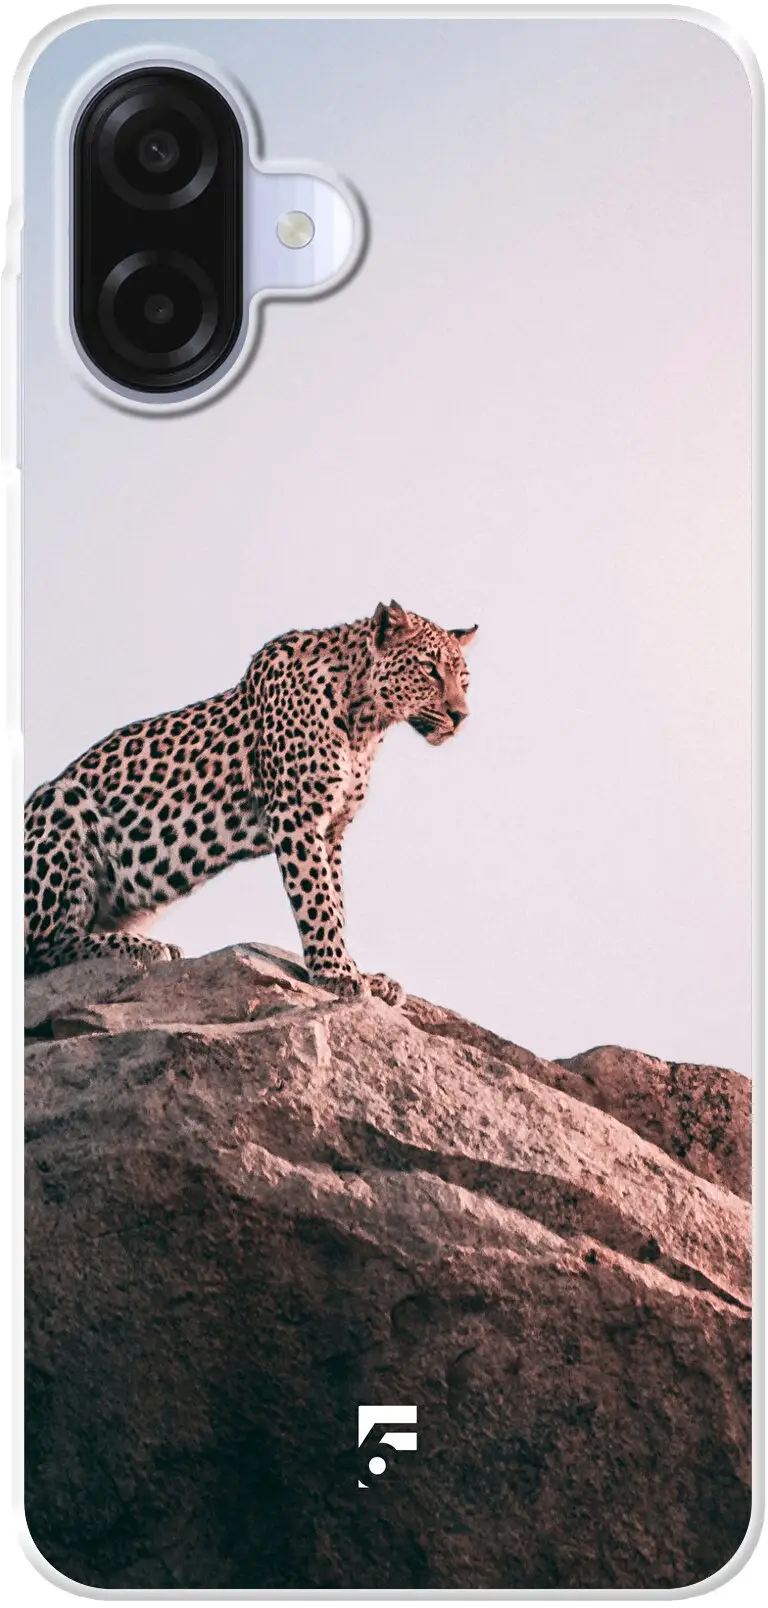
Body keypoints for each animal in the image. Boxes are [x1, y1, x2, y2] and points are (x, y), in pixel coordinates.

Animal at [24, 601, 477, 1002]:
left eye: (465, 679)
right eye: (429, 669)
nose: (461, 716)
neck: (365, 722)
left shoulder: (332, 830)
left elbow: (337, 902)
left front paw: (358, 972)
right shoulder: (297, 814)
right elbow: (317, 900)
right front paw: (336, 973)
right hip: (60, 800)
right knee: (45, 946)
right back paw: (142, 946)